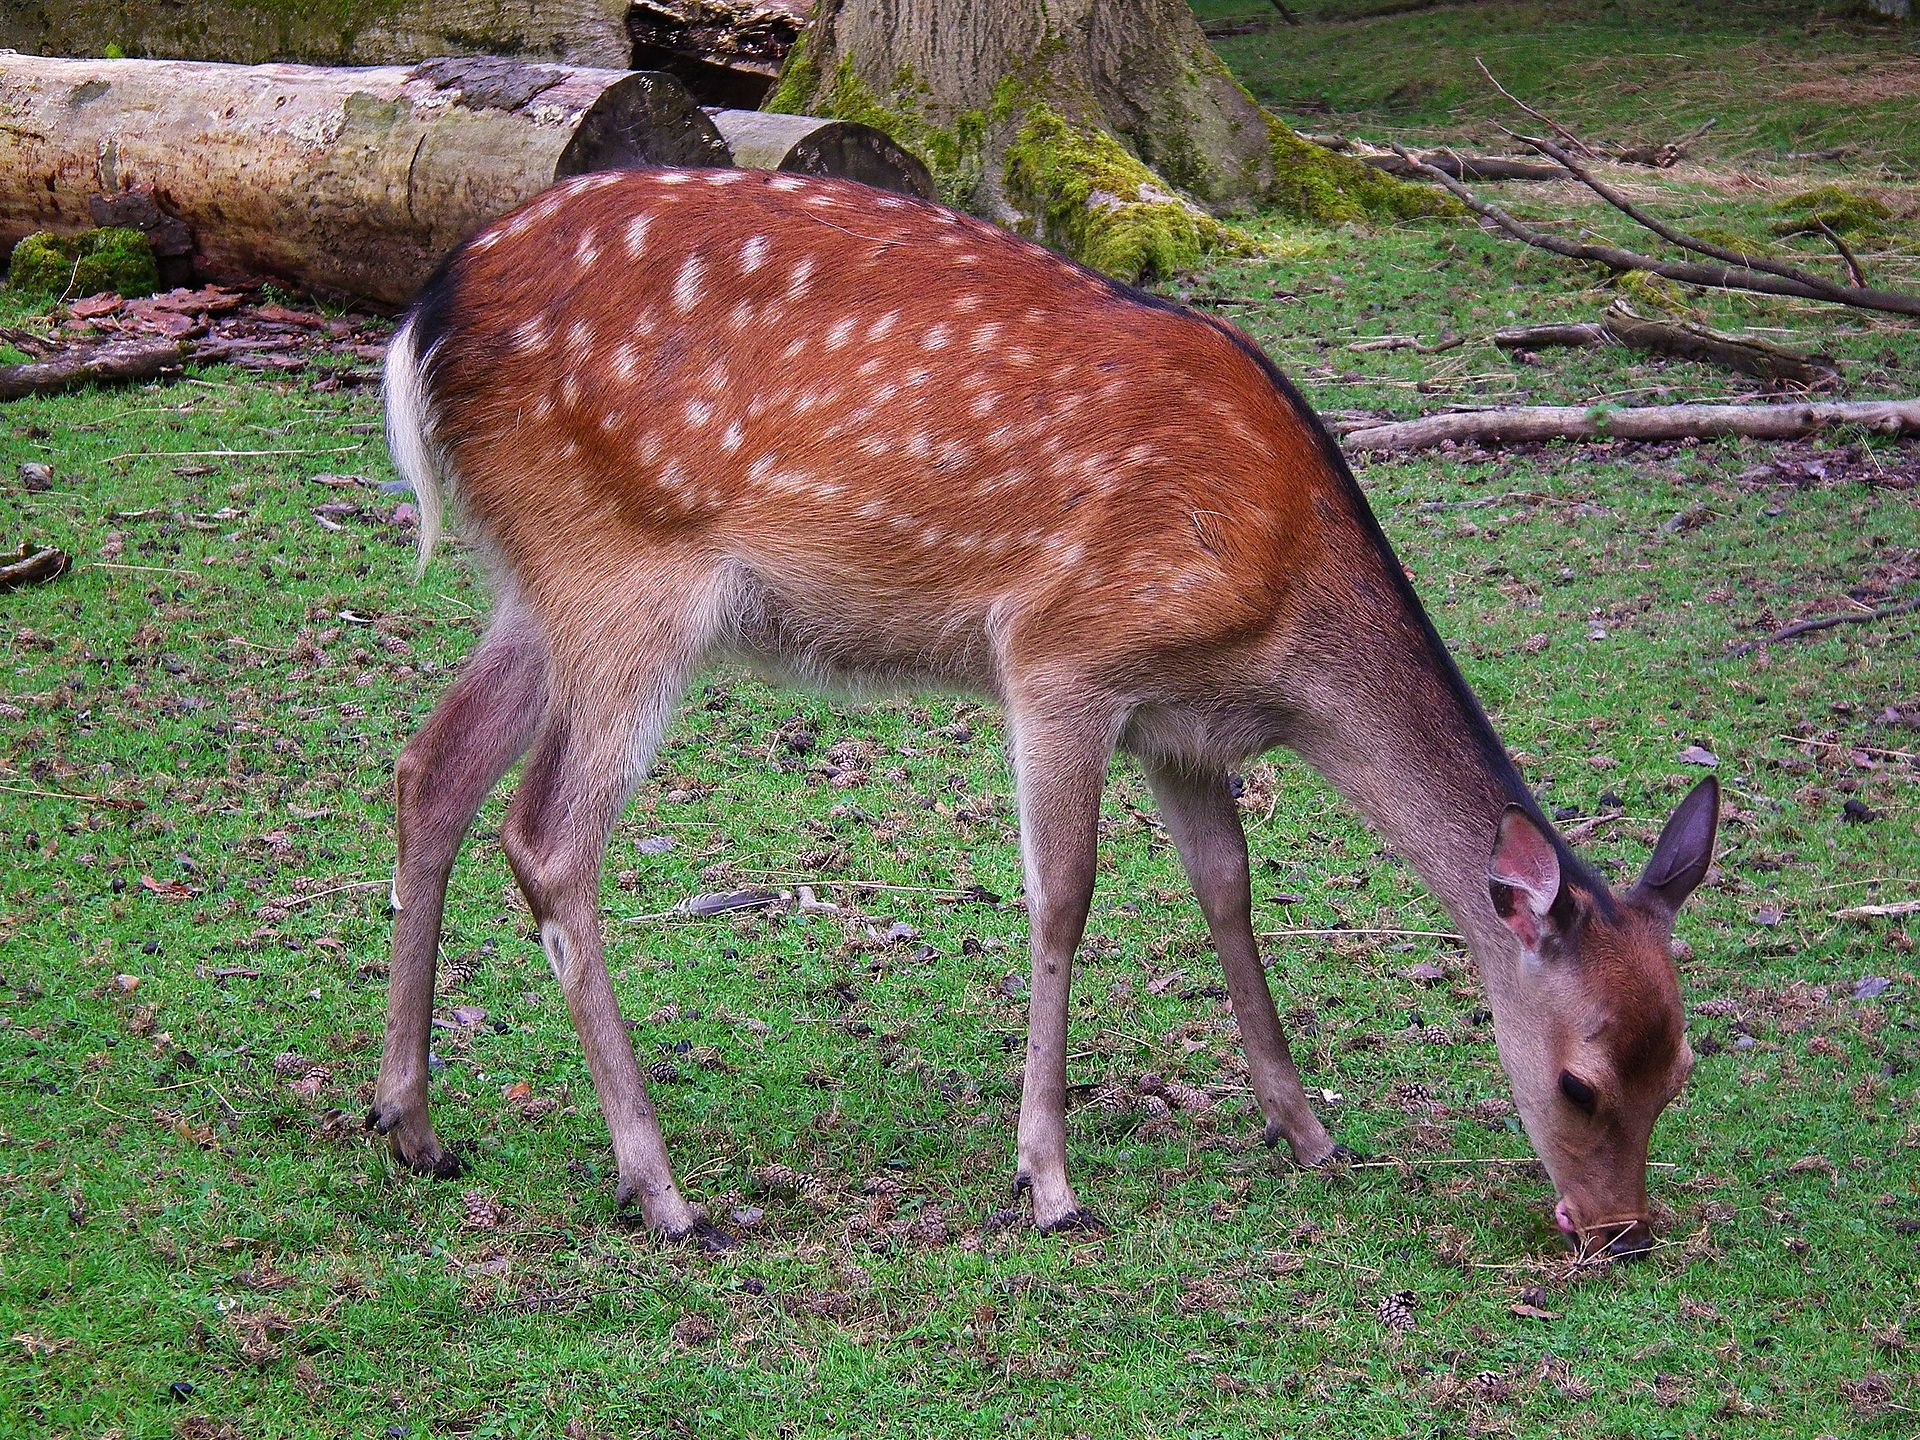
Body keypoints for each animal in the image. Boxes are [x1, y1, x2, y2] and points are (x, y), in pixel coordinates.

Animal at [366, 163, 1720, 1259]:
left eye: (1680, 1070)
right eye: (1582, 1081)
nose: (1621, 1232)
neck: (1283, 619)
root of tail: (424, 312)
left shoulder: (1185, 727)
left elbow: (1228, 893)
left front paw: (1305, 1132)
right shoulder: (1066, 654)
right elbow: (1063, 895)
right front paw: (1049, 1182)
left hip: (540, 582)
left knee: (431, 768)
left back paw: (411, 1123)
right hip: (625, 573)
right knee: (547, 836)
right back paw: (661, 1191)